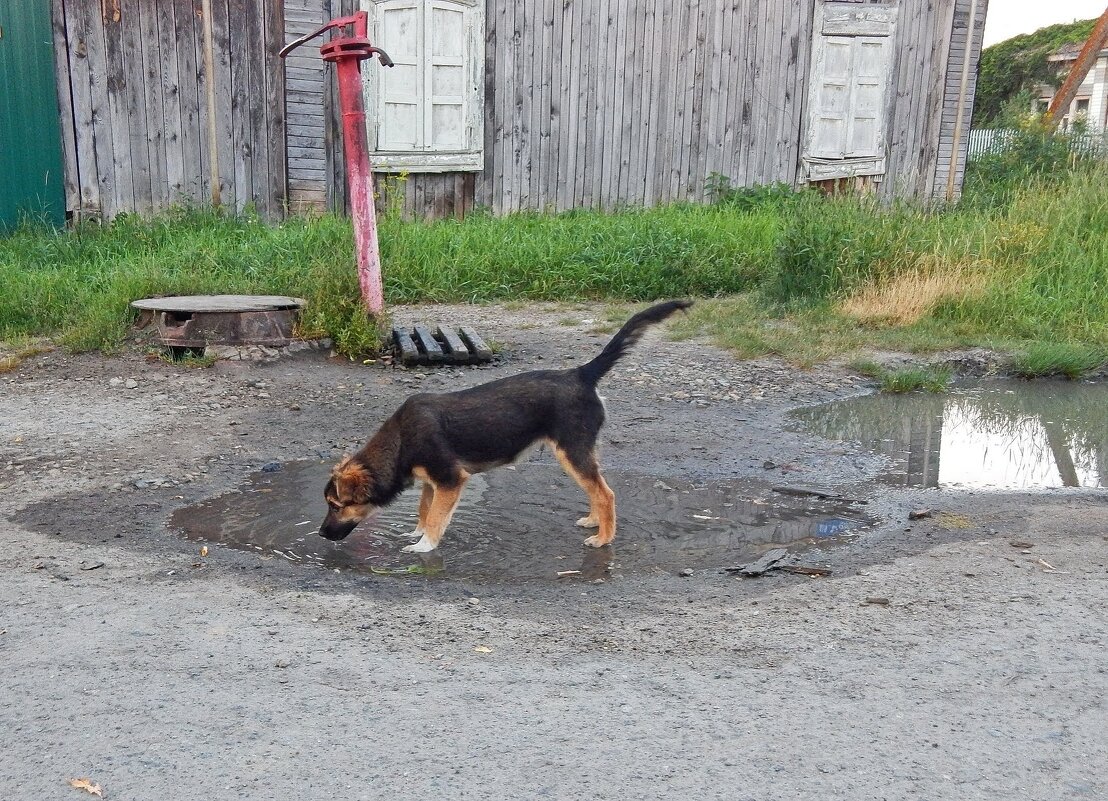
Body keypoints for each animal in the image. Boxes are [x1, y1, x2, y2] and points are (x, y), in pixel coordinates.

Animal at [316, 301, 686, 551]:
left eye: (336, 506)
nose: (320, 534)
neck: (401, 442)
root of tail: (581, 373)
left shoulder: (450, 481)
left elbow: (436, 517)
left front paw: (424, 546)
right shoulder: (432, 483)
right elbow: (424, 511)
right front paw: (417, 533)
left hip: (572, 451)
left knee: (605, 493)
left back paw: (603, 538)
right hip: (577, 454)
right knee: (596, 489)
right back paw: (594, 521)